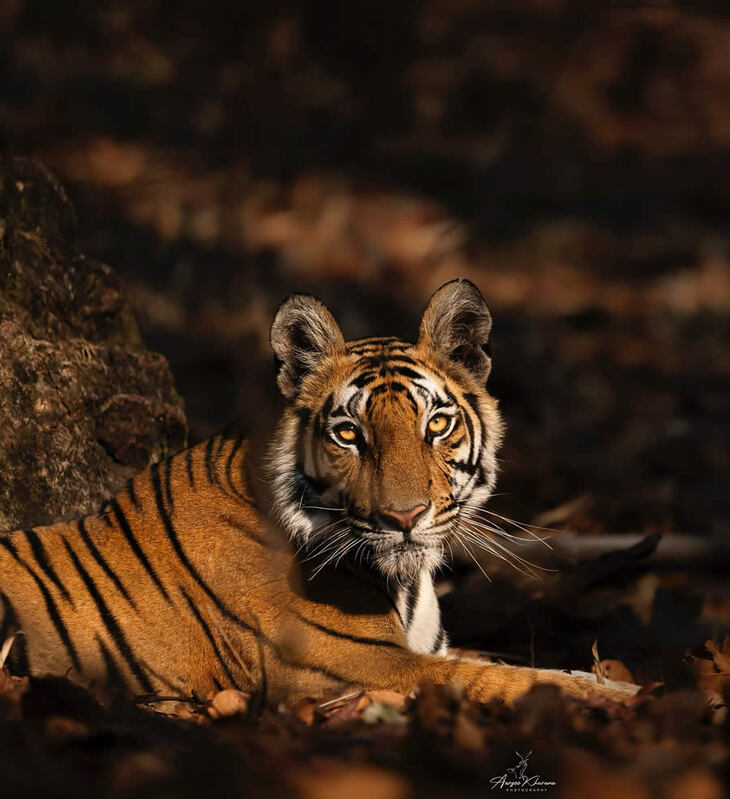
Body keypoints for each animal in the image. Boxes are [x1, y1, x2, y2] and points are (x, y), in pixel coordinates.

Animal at [0, 282, 636, 708]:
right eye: (349, 433)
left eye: (435, 424)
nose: (404, 516)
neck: (407, 584)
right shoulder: (362, 668)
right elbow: (501, 678)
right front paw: (623, 701)